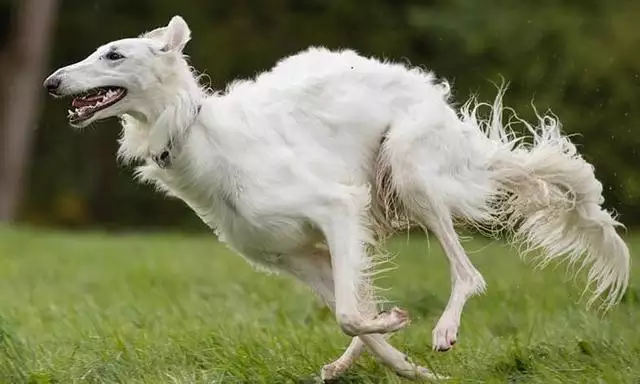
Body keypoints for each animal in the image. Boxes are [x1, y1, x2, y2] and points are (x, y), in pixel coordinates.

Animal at [43, 15, 632, 380]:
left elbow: (352, 313)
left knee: (468, 273)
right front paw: (407, 366)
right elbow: (354, 315)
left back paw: (443, 329)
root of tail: (427, 89)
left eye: (113, 54)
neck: (204, 139)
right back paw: (356, 360)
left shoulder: (337, 208)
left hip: (410, 173)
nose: (51, 83)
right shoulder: (294, 256)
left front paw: (402, 331)